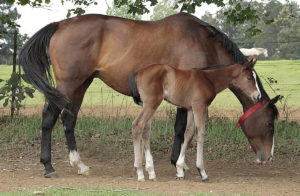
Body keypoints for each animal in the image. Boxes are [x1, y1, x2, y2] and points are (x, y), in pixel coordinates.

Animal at [129, 60, 260, 181]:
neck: (208, 79)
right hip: (151, 103)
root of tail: (138, 73)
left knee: (146, 130)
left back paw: (151, 172)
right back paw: (140, 172)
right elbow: (200, 133)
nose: (257, 96)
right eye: (249, 78)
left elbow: (189, 133)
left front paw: (180, 170)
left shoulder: (190, 108)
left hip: (149, 105)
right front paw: (202, 171)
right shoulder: (199, 106)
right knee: (137, 125)